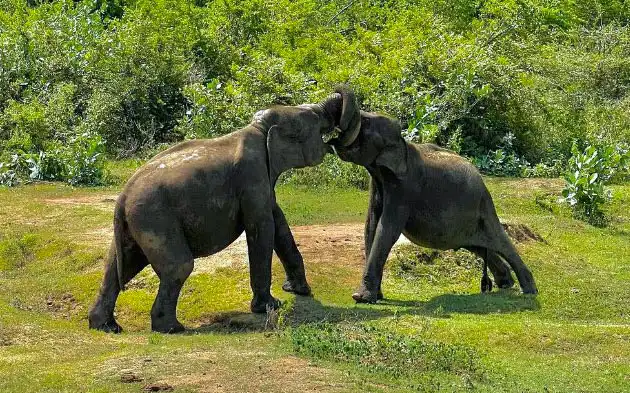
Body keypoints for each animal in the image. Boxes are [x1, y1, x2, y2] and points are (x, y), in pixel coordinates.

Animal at [88, 86, 360, 330]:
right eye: (314, 117)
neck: (259, 128)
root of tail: (122, 198)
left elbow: (280, 225)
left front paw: (299, 291)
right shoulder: (252, 177)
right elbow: (262, 229)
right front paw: (270, 306)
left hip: (138, 223)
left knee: (115, 267)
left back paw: (107, 326)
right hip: (154, 217)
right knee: (179, 266)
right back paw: (172, 328)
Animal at [330, 108, 540, 302]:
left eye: (365, 122)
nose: (332, 136)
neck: (401, 143)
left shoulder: (405, 188)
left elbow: (387, 229)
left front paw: (361, 298)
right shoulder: (378, 183)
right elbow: (371, 227)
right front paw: (374, 297)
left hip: (484, 208)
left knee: (500, 242)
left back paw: (529, 290)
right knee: (478, 246)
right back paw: (506, 284)